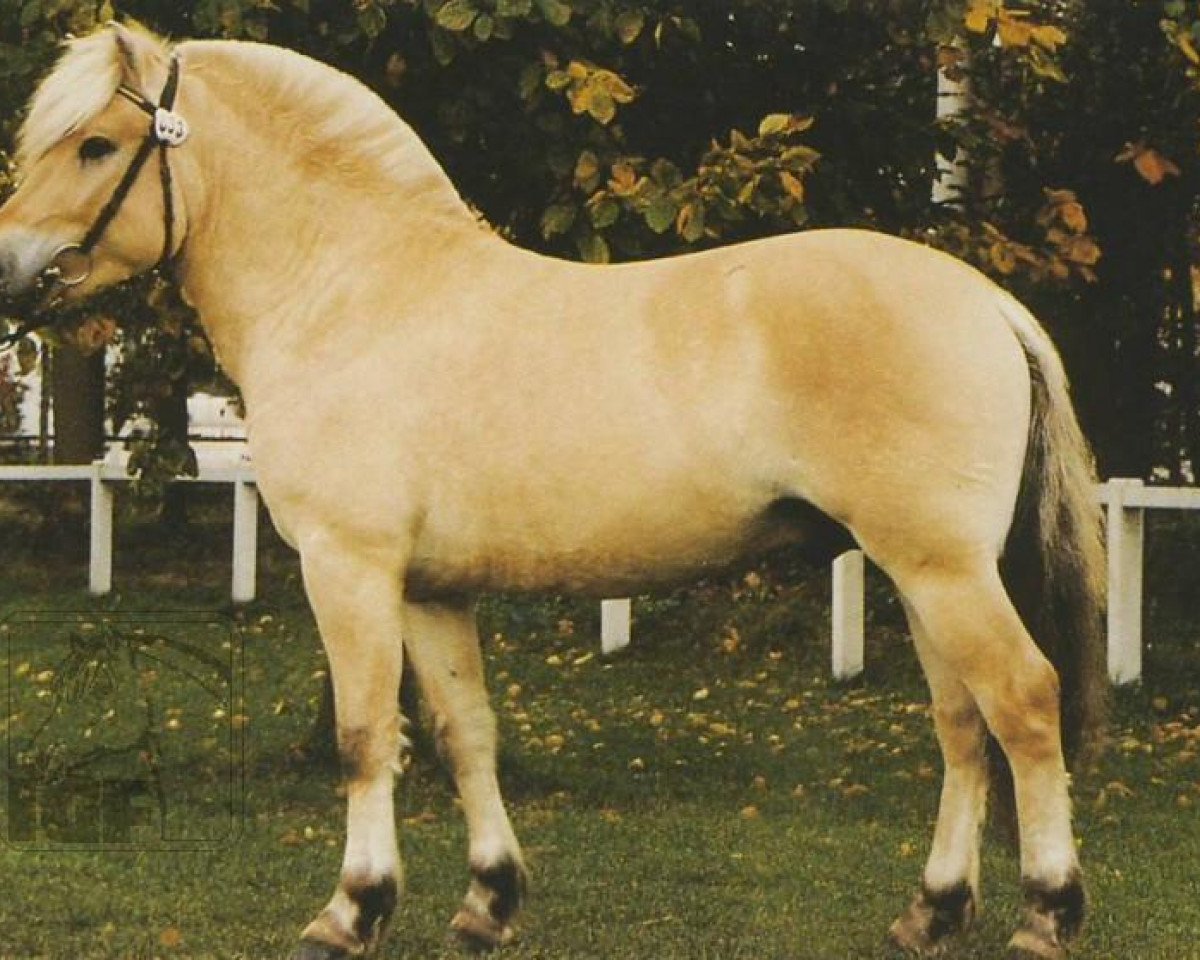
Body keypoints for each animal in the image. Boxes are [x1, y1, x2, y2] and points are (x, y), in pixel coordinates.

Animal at [0, 23, 1105, 960]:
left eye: (96, 145)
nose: (9, 270)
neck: (352, 290)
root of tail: (989, 303)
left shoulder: (347, 568)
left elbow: (365, 737)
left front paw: (352, 910)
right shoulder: (430, 589)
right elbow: (463, 733)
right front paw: (487, 901)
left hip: (942, 568)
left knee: (1022, 702)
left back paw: (1046, 913)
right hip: (919, 573)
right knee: (962, 726)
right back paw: (932, 912)